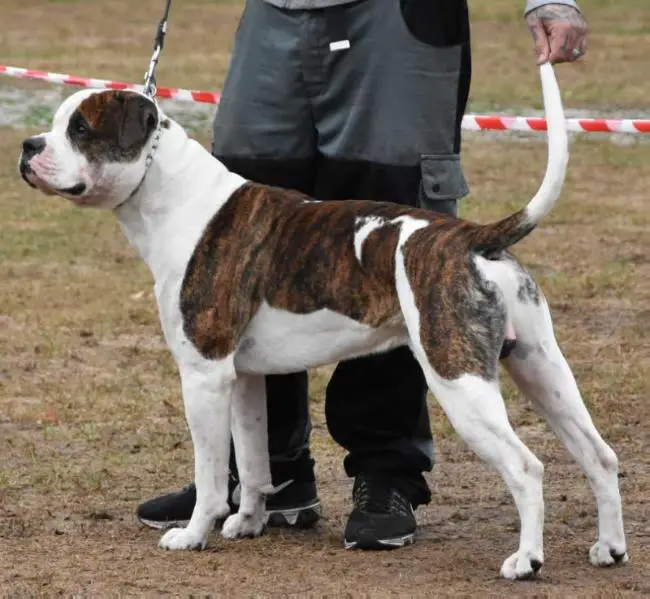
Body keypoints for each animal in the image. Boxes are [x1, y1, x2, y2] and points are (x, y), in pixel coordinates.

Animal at [19, 65, 628, 580]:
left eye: (79, 128)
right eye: (55, 124)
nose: (28, 146)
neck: (171, 195)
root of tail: (471, 236)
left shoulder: (204, 375)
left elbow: (212, 473)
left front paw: (194, 533)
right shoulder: (244, 378)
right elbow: (255, 461)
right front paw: (249, 523)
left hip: (458, 380)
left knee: (526, 467)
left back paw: (526, 561)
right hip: (542, 369)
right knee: (600, 455)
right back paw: (610, 548)